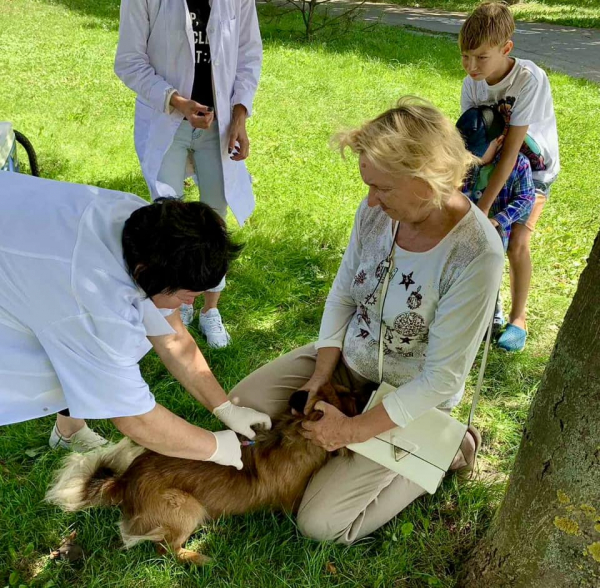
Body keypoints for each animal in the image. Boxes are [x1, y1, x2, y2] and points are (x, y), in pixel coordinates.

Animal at [47, 384, 368, 564]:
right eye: (349, 396)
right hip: (185, 506)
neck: (293, 435)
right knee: (166, 549)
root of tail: (124, 480)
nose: (367, 389)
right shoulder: (293, 505)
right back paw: (201, 557)